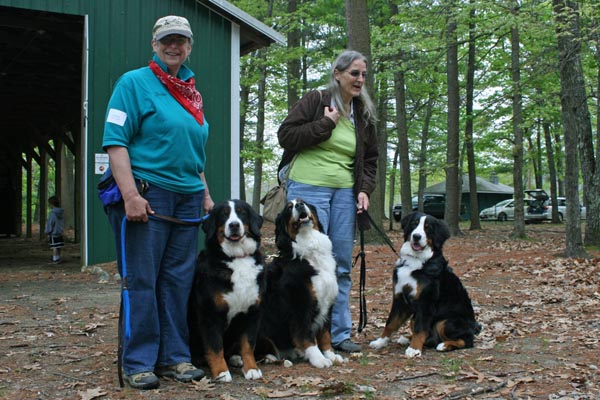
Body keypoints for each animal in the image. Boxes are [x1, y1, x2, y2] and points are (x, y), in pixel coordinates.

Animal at [188, 199, 262, 382]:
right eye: (224, 214)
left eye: (242, 212)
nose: (234, 225)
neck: (236, 258)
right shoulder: (210, 313)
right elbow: (215, 346)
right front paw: (221, 372)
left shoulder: (252, 312)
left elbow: (248, 344)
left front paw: (251, 368)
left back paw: (236, 358)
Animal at [255, 198, 344, 368]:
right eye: (289, 208)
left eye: (303, 202)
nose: (299, 205)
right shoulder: (301, 304)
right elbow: (307, 335)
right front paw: (319, 359)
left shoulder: (327, 303)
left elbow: (325, 334)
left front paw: (331, 355)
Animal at [368, 211, 480, 358]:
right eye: (414, 224)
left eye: (428, 228)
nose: (416, 236)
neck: (416, 260)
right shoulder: (400, 298)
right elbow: (391, 323)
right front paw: (380, 342)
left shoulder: (425, 301)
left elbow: (420, 328)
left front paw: (414, 349)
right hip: (415, 318)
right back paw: (407, 339)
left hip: (446, 321)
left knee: (467, 341)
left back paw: (444, 345)